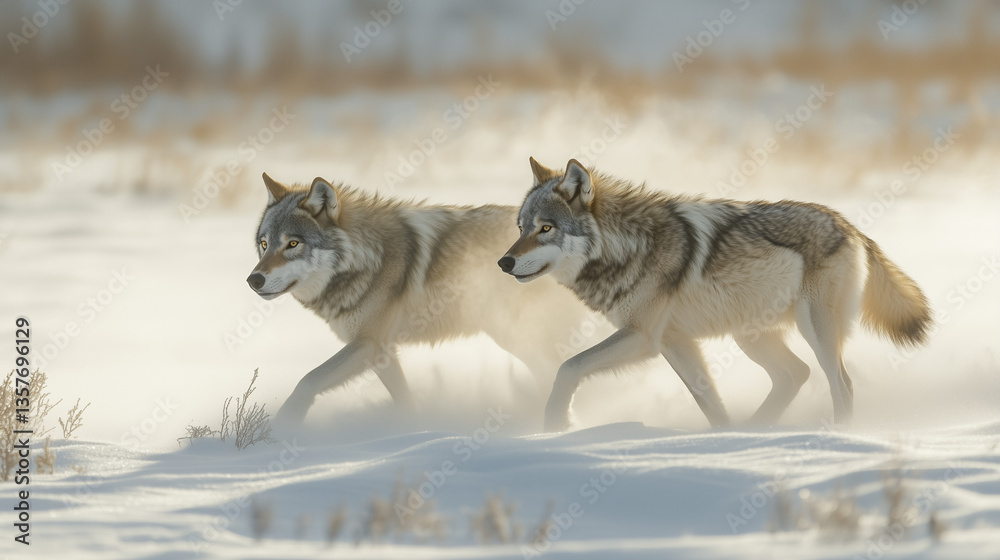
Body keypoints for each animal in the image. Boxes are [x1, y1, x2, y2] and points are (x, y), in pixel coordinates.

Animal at [248, 173, 594, 426]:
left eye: (293, 243)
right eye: (264, 245)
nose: (254, 280)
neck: (369, 257)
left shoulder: (368, 343)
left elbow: (308, 380)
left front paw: (283, 427)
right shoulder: (382, 354)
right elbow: (404, 401)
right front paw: (413, 430)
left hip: (519, 336)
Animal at [499, 158, 932, 431]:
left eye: (546, 228)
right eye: (520, 227)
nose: (503, 262)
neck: (630, 245)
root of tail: (851, 226)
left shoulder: (642, 337)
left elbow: (567, 367)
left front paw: (555, 427)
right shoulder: (674, 343)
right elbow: (710, 404)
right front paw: (721, 441)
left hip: (815, 333)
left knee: (842, 384)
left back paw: (835, 435)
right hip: (750, 338)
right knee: (796, 374)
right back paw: (754, 431)